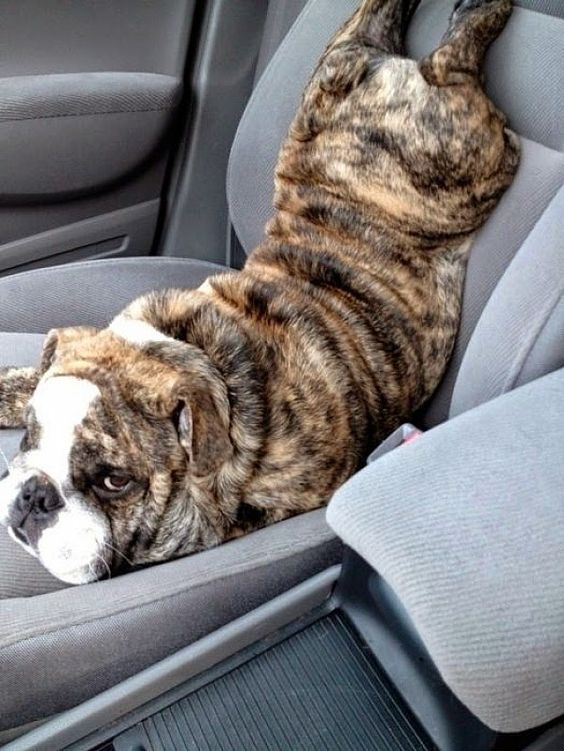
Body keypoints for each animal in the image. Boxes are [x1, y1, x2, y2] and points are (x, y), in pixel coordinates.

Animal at [0, 0, 520, 588]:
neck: (195, 355)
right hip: (329, 76)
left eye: (115, 482)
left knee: (456, 69)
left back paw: (480, 17)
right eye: (30, 436)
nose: (35, 495)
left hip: (473, 154)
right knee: (376, 27)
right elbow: (22, 380)